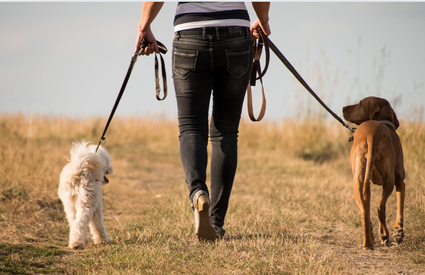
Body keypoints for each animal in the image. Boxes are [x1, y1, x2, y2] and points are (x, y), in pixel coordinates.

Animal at [342, 97, 404, 250]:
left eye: (359, 103)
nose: (343, 108)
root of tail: (372, 134)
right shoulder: (400, 179)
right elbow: (400, 206)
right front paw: (398, 231)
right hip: (389, 181)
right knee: (380, 207)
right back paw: (384, 235)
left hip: (358, 182)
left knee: (364, 213)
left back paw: (368, 243)